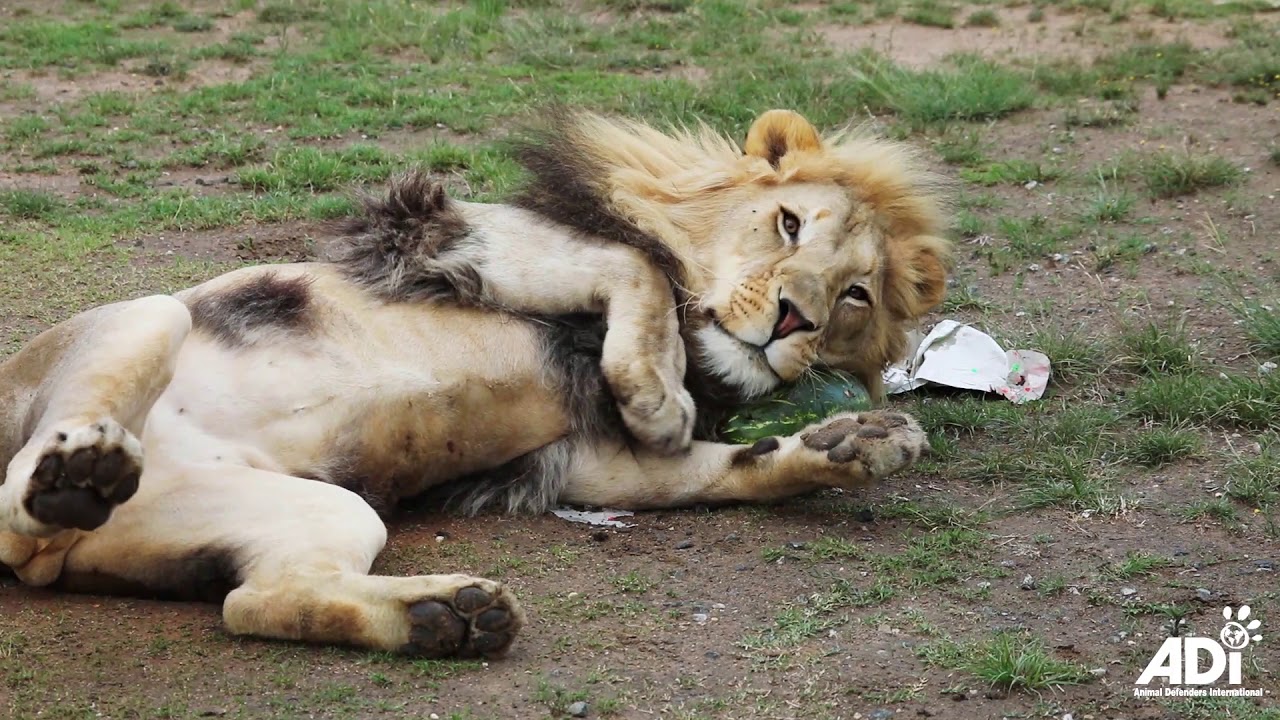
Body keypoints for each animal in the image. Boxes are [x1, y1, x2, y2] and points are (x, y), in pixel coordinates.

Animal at [0, 108, 950, 660]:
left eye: (855, 295)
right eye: (788, 224)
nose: (794, 320)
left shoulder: (580, 457)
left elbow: (728, 470)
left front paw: (855, 443)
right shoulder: (435, 233)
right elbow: (635, 263)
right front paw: (659, 394)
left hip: (326, 509)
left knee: (252, 599)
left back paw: (447, 617)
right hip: (150, 316)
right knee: (23, 495)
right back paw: (76, 470)